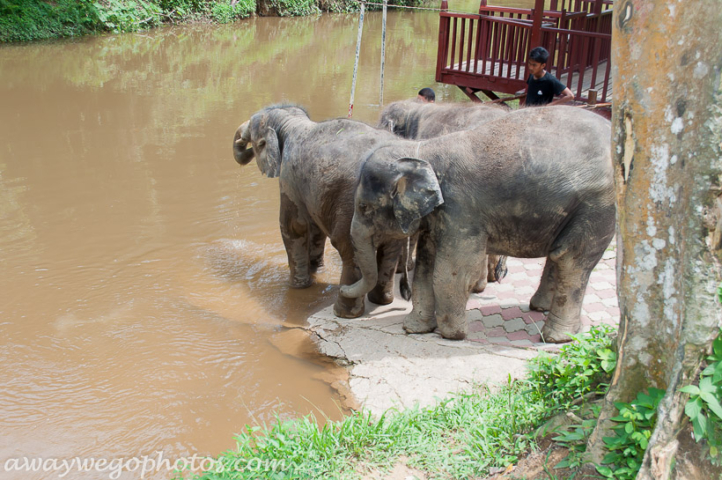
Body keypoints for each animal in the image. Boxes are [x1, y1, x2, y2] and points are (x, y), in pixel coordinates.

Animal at [233, 104, 408, 318]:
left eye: (252, 131)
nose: (241, 140)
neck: (291, 122)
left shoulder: (288, 178)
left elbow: (294, 226)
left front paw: (298, 287)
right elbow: (314, 228)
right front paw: (316, 270)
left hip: (353, 208)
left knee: (350, 250)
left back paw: (343, 312)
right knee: (391, 249)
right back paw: (381, 301)